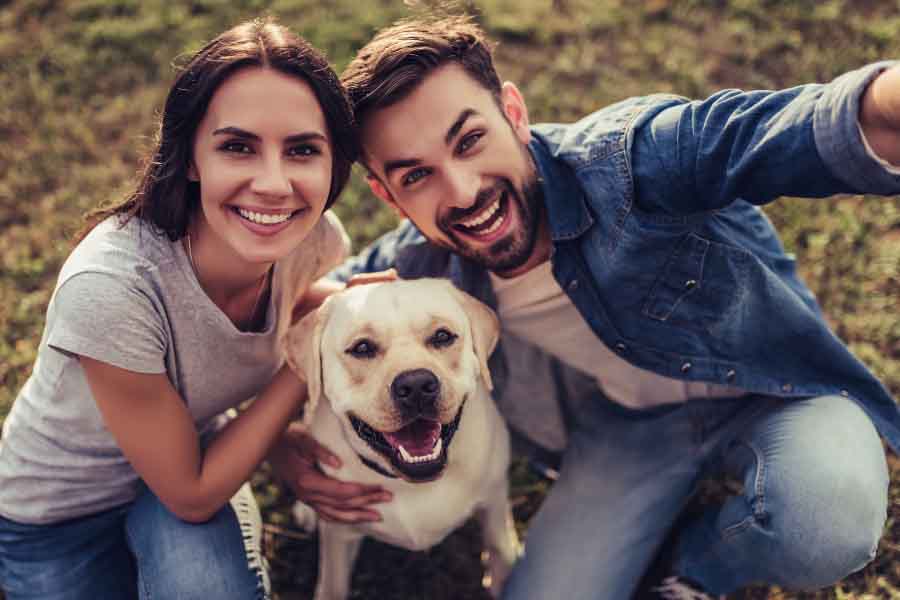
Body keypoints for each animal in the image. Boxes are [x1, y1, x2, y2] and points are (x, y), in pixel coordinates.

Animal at [282, 278, 520, 600]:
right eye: (362, 348)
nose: (417, 385)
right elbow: (333, 586)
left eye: (442, 336)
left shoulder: (495, 498)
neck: (410, 484)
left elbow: (498, 545)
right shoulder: (339, 536)